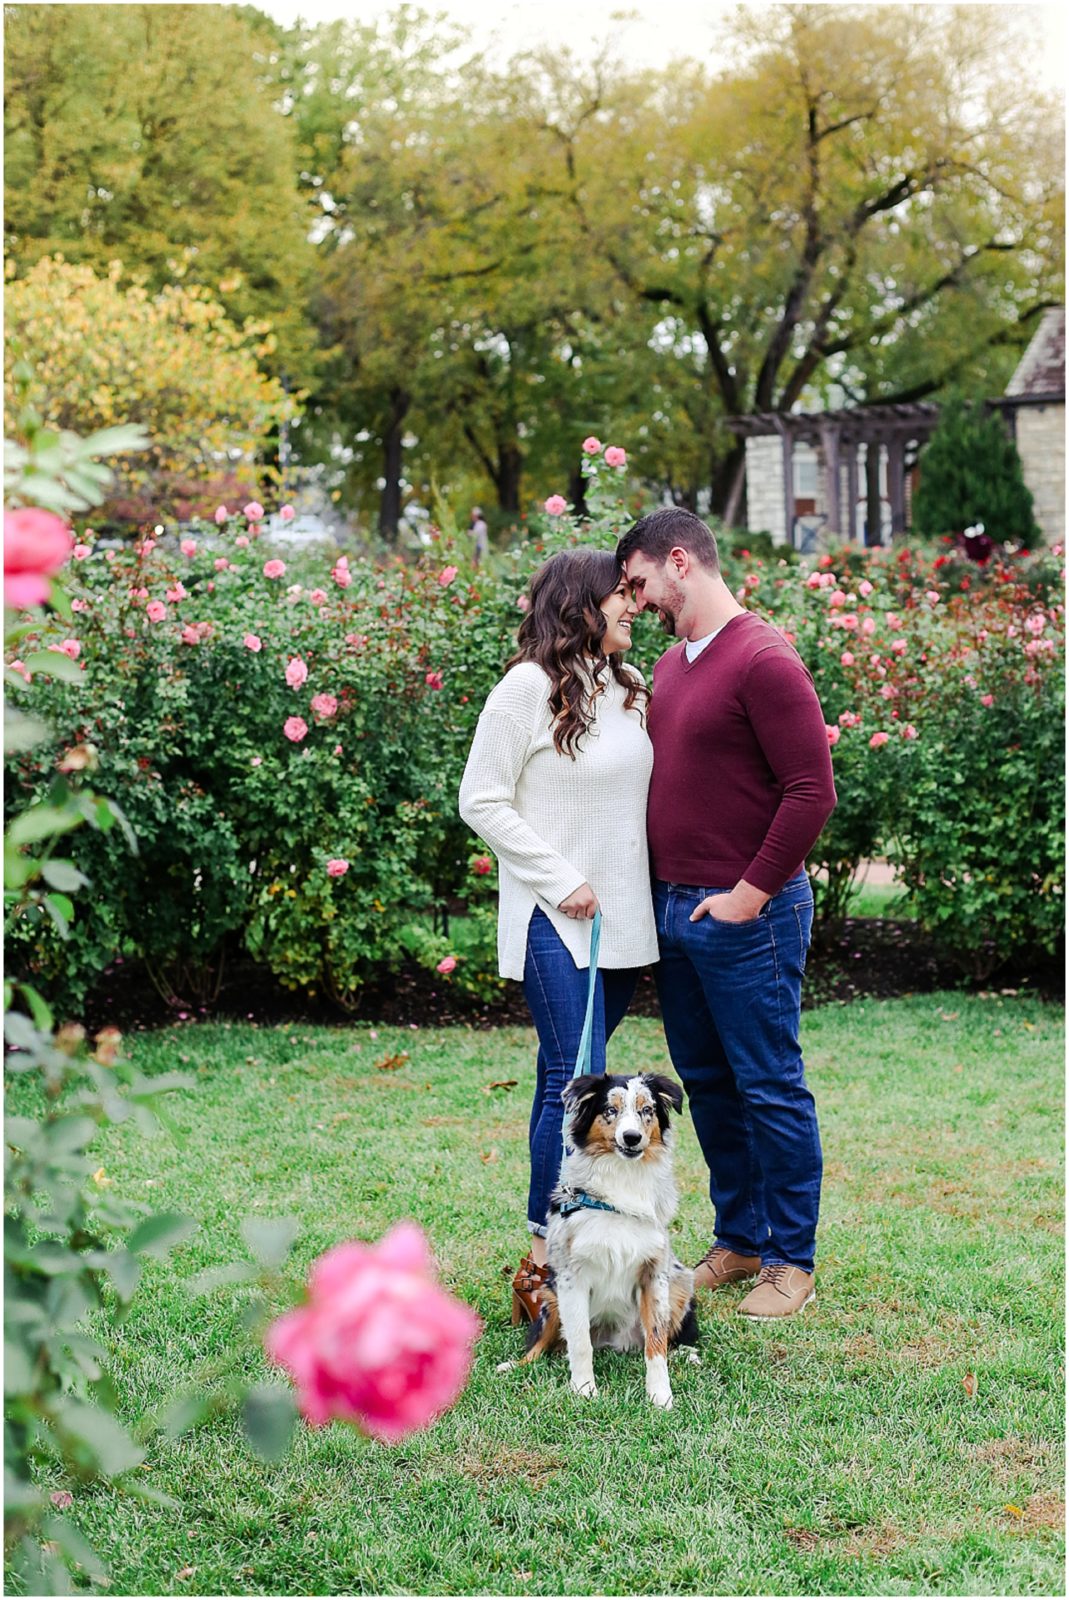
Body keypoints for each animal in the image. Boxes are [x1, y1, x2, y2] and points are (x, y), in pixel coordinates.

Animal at [502, 1068, 700, 1408]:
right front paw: (584, 1389)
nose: (631, 1137)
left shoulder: (654, 1274)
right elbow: (579, 1341)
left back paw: (687, 1354)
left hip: (680, 1285)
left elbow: (657, 1342)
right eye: (610, 1110)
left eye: (646, 1110)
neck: (622, 1178)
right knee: (542, 1345)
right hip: (550, 1297)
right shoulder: (572, 1279)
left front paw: (660, 1395)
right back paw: (515, 1365)